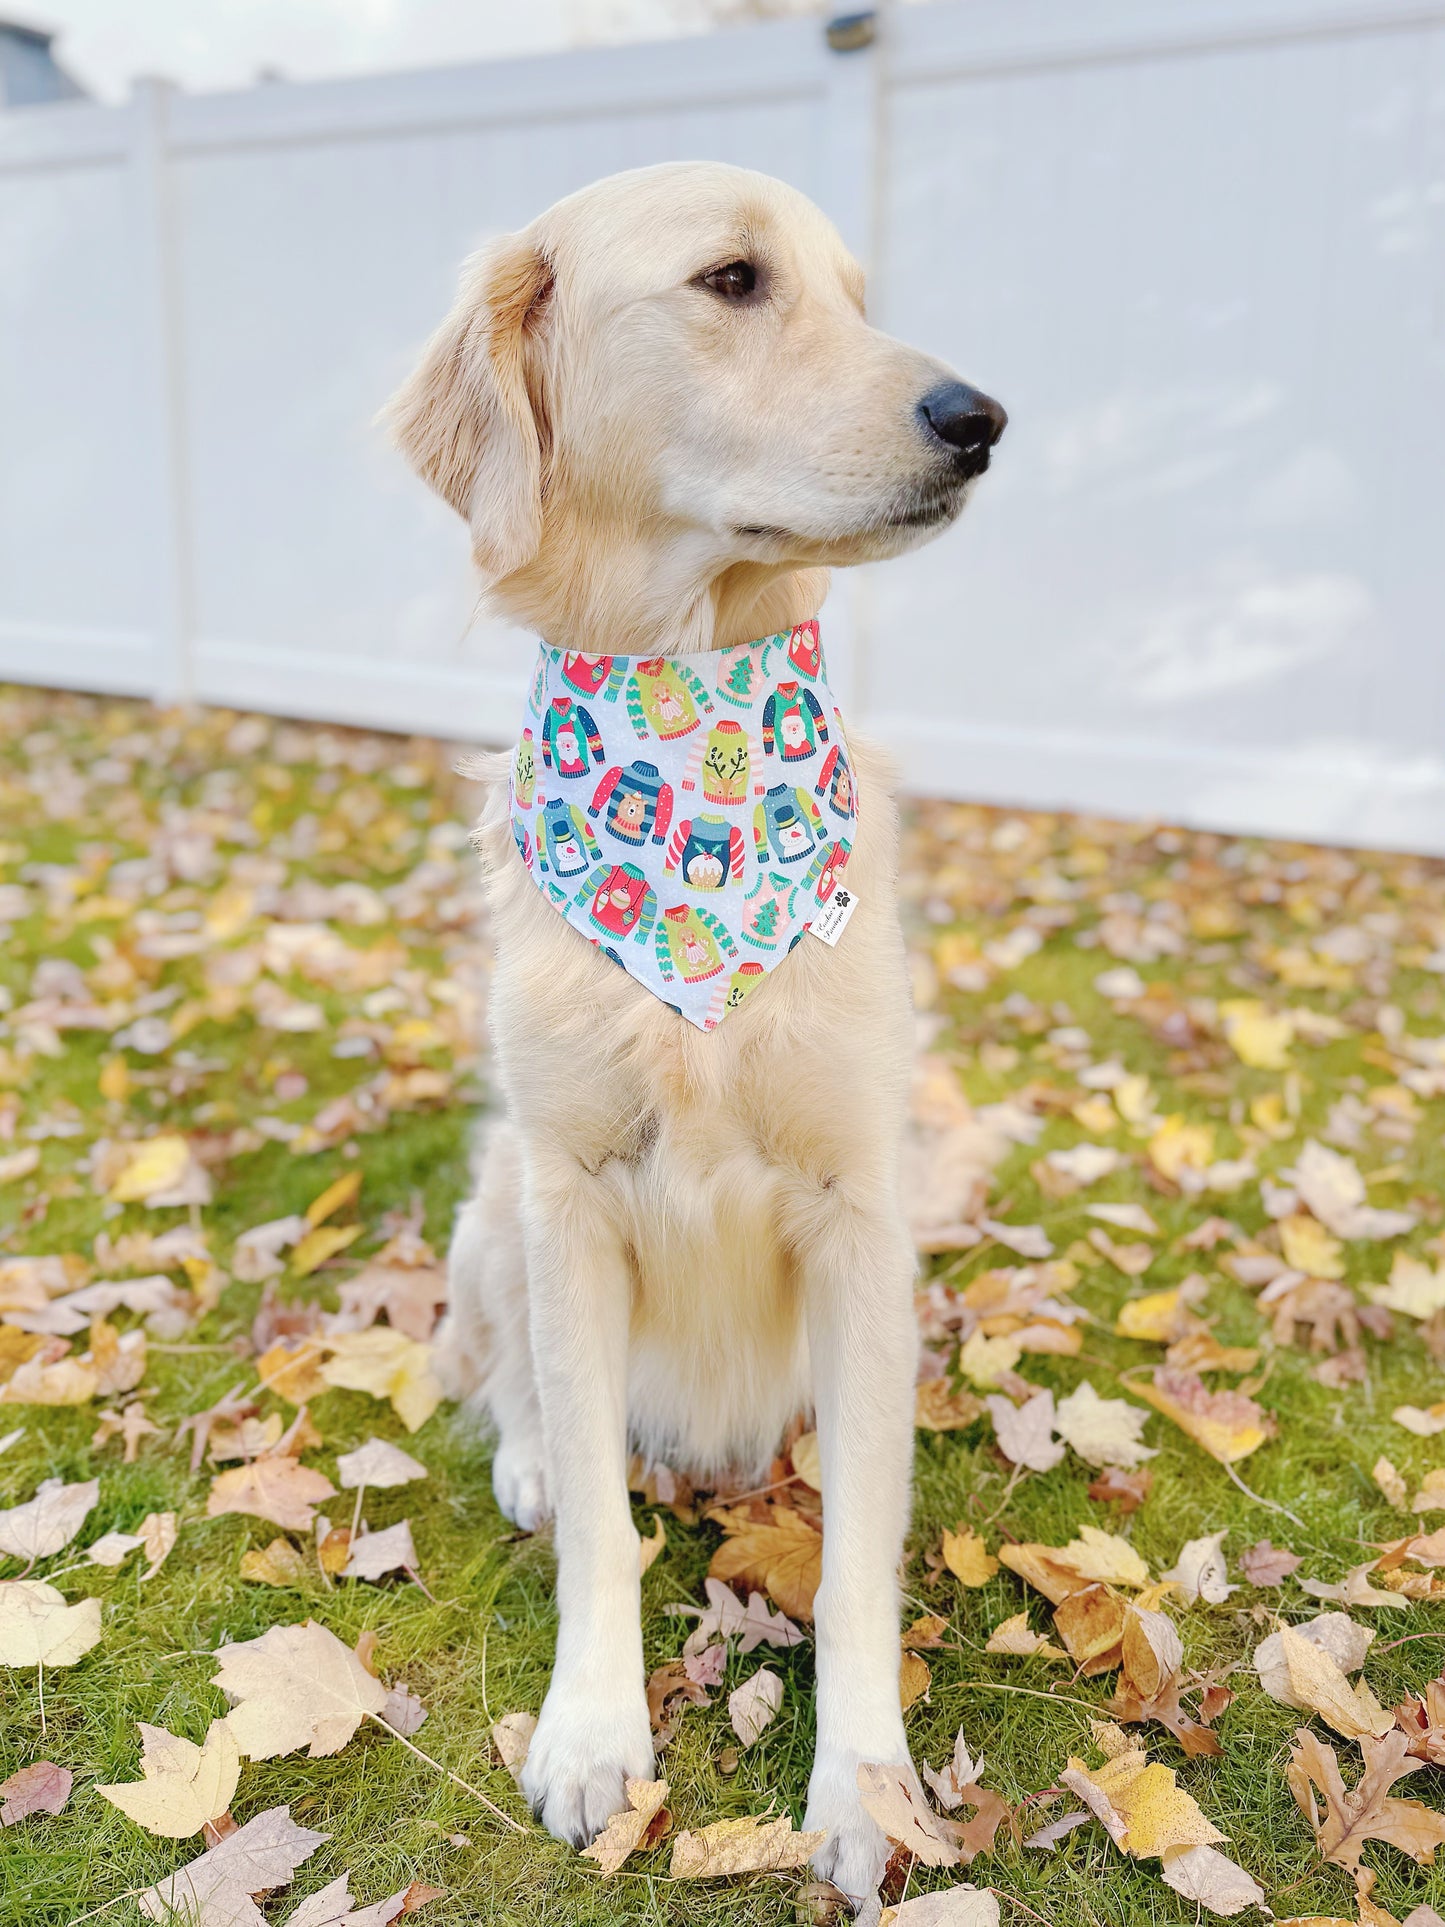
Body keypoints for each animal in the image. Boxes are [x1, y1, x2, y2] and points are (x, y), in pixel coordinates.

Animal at [391, 161, 1009, 1896]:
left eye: (857, 296)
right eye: (733, 280)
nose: (981, 417)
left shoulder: (860, 1210)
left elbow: (859, 1549)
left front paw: (861, 1782)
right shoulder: (572, 1189)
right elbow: (602, 1522)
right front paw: (594, 1733)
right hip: (496, 1200)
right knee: (515, 1385)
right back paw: (535, 1458)